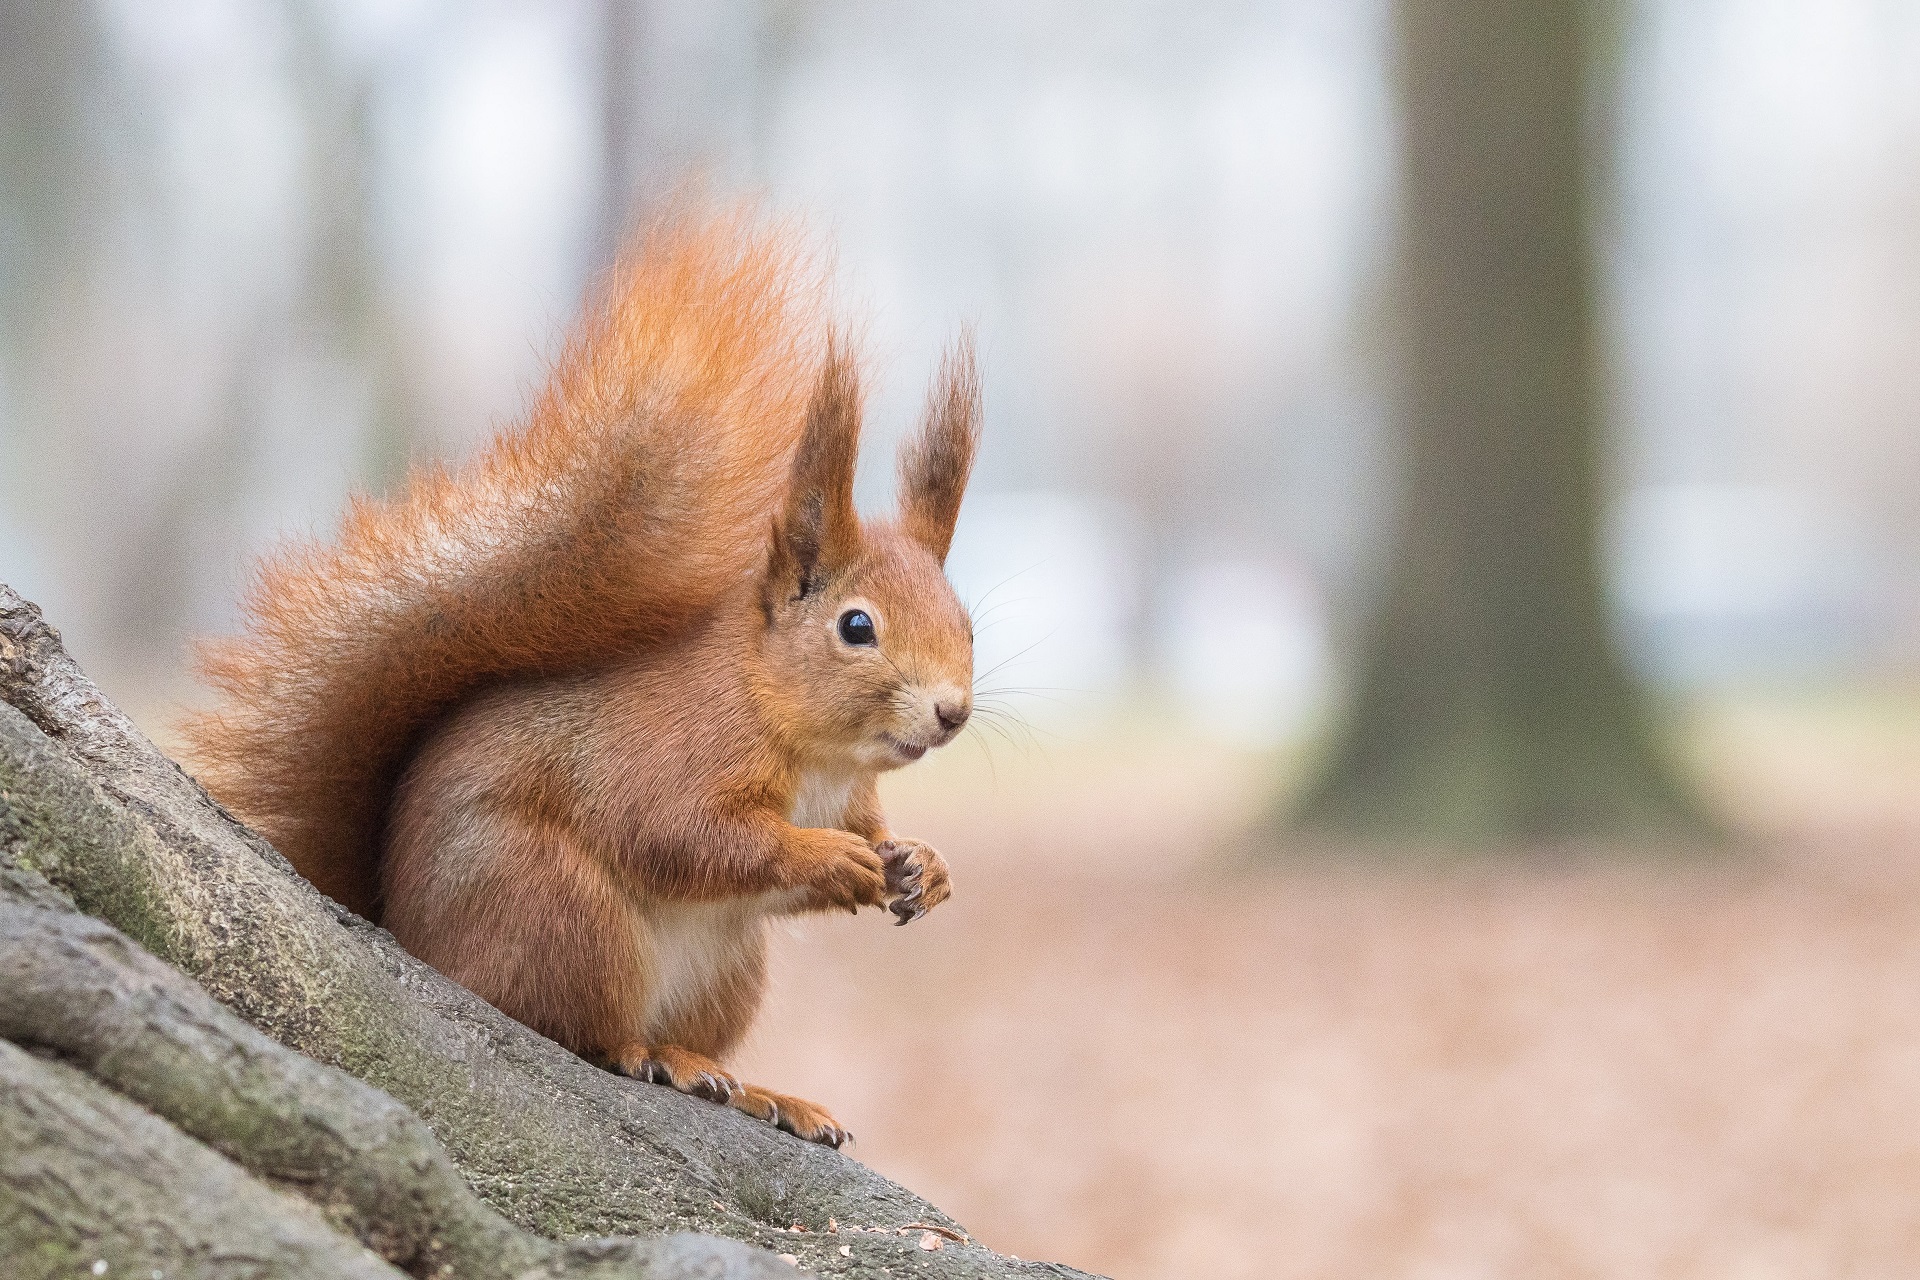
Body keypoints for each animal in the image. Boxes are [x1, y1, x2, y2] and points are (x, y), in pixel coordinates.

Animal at [183, 210, 975, 1151]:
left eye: (967, 622)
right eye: (857, 627)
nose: (953, 712)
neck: (810, 744)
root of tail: (411, 939)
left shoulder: (848, 795)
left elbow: (861, 838)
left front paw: (922, 865)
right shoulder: (672, 753)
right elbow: (683, 834)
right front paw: (827, 858)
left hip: (728, 967)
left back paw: (759, 1091)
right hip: (560, 913)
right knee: (575, 1030)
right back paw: (656, 1056)